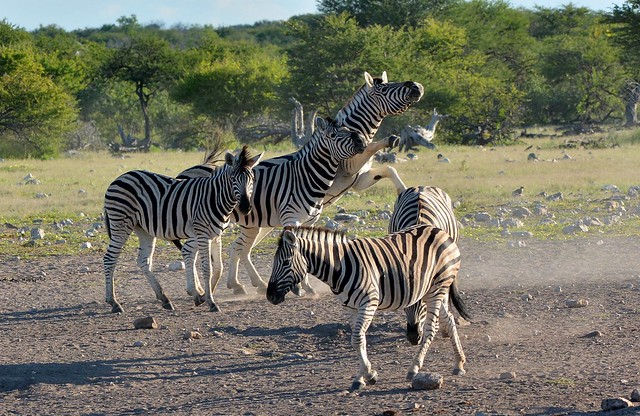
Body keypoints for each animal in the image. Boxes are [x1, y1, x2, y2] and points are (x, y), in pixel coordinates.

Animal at [104, 145, 262, 312]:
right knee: (110, 258)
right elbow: (207, 267)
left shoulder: (216, 235)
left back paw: (164, 298)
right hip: (121, 223)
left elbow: (218, 268)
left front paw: (204, 295)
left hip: (143, 229)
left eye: (252, 179)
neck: (215, 197)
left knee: (143, 261)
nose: (245, 207)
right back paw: (114, 302)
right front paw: (210, 302)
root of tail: (120, 178)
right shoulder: (202, 234)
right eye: (233, 179)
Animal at [264, 224, 470, 390]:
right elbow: (359, 340)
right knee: (449, 320)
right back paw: (459, 364)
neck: (339, 267)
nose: (270, 296)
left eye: (286, 262)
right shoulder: (349, 307)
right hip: (434, 291)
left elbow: (357, 339)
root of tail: (441, 232)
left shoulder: (369, 302)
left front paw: (367, 375)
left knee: (430, 329)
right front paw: (364, 376)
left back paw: (414, 368)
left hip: (438, 288)